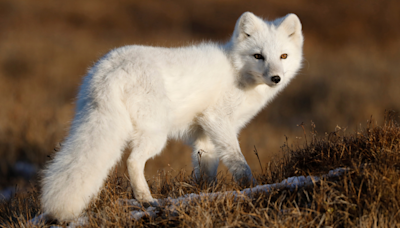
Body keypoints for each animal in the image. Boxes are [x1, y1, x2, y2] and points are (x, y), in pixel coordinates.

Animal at [41, 11, 304, 220]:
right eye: (258, 56)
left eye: (283, 56)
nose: (276, 78)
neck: (236, 72)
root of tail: (109, 71)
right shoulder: (218, 120)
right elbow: (239, 162)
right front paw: (251, 187)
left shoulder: (205, 135)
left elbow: (206, 168)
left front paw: (204, 193)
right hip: (157, 135)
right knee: (132, 161)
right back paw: (146, 199)